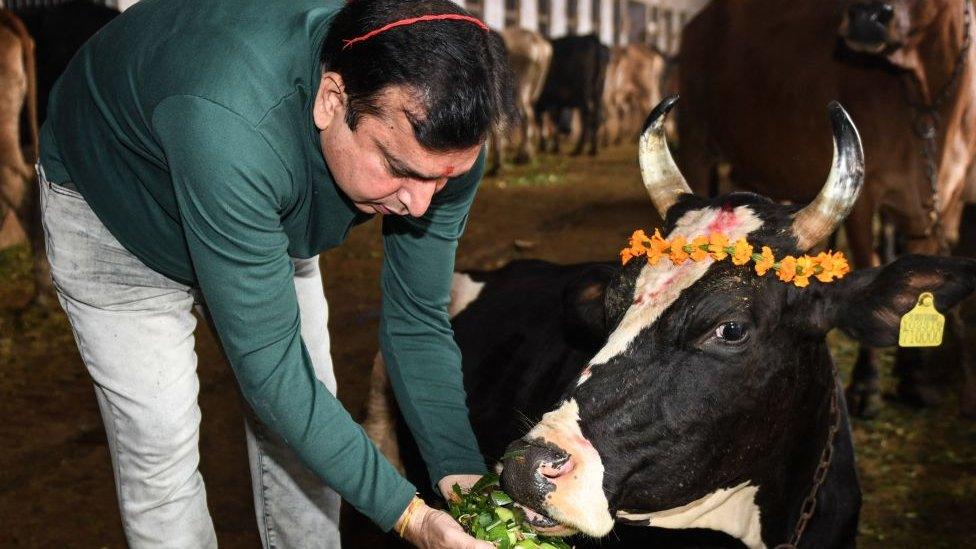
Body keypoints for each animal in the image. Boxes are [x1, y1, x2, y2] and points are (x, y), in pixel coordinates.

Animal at [680, 0, 976, 416]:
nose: (866, 16)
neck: (928, 99)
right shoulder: (866, 198)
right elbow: (869, 265)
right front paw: (867, 383)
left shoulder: (944, 204)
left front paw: (916, 379)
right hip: (694, 140)